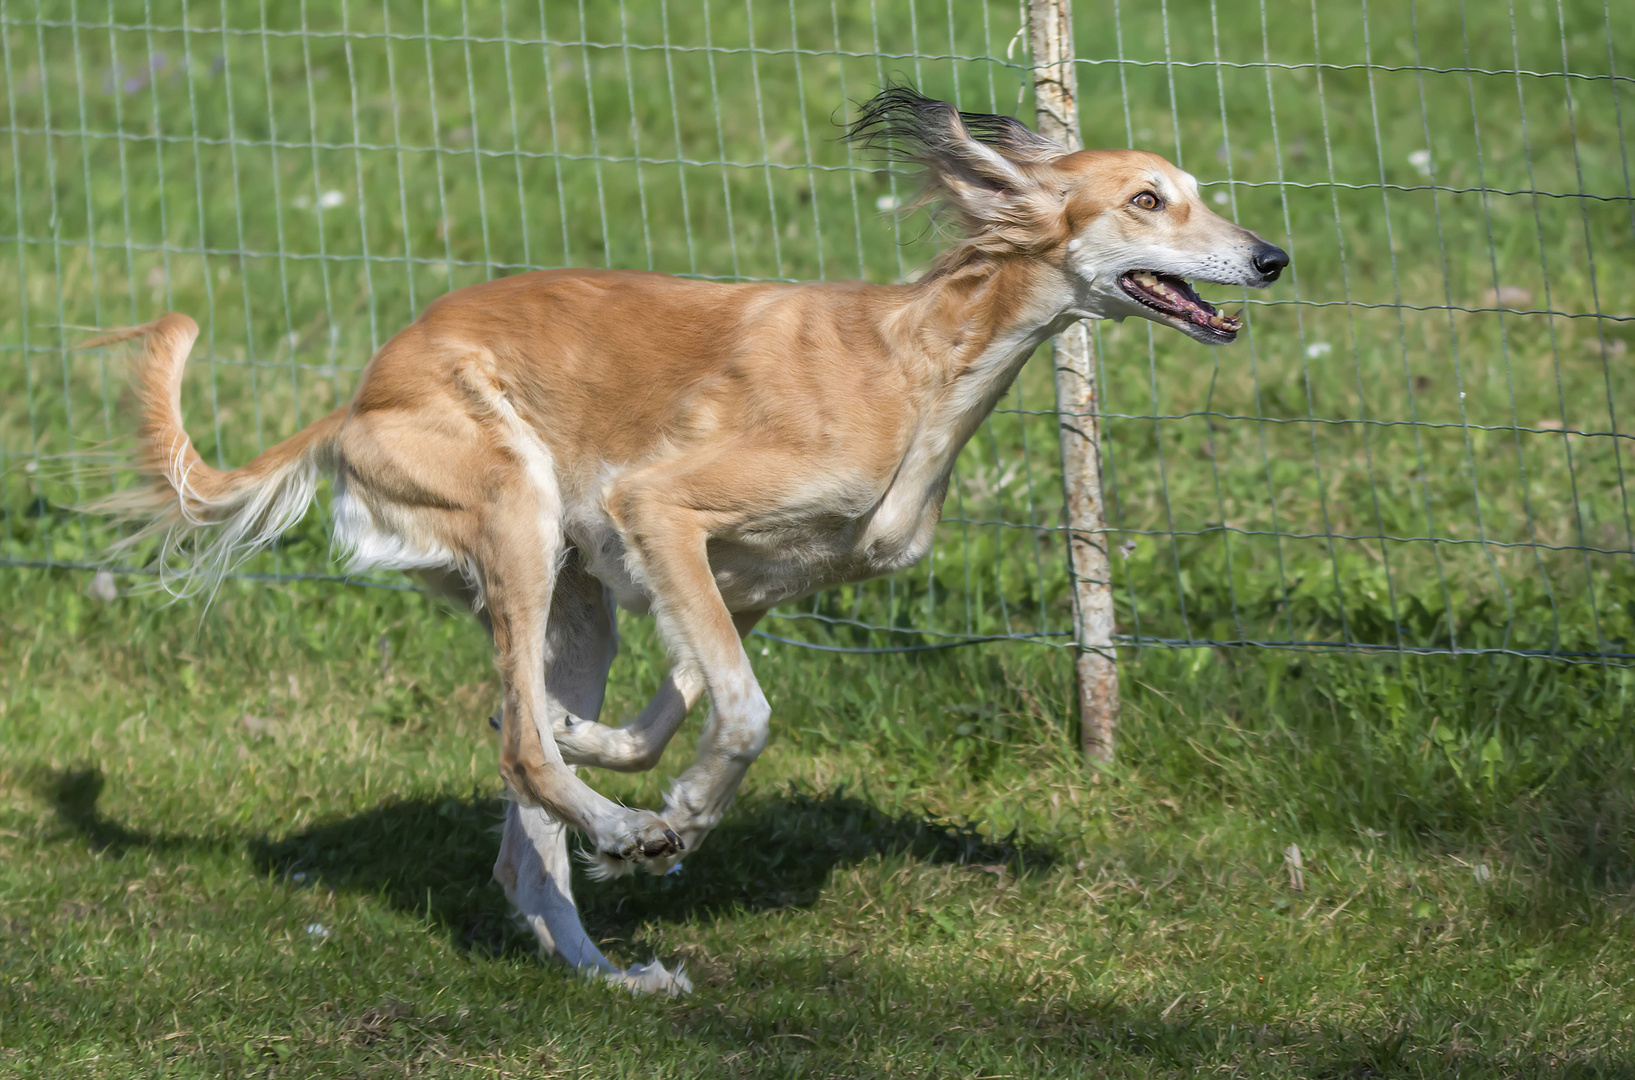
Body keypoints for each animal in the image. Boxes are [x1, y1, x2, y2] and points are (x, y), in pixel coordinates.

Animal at [86, 86, 1288, 993]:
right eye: (1148, 199)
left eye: (1196, 194)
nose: (1271, 257)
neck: (921, 359)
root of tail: (358, 397)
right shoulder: (659, 512)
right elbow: (743, 715)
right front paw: (675, 821)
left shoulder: (735, 583)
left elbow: (670, 714)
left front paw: (613, 756)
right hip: (517, 514)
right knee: (520, 763)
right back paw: (616, 836)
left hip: (569, 595)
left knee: (524, 836)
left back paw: (607, 962)